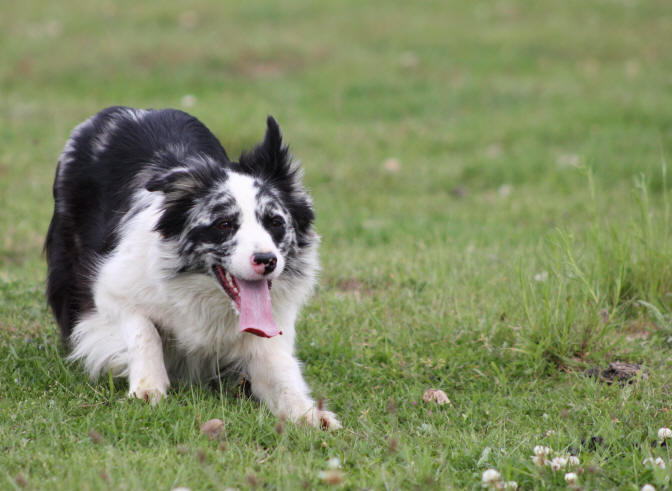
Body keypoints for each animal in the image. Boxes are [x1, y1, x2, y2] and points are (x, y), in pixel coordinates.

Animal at [46, 105, 342, 428]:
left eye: (275, 222)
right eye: (224, 224)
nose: (267, 260)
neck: (204, 295)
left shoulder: (268, 335)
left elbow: (280, 374)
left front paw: (308, 414)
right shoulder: (111, 290)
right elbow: (144, 331)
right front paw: (148, 388)